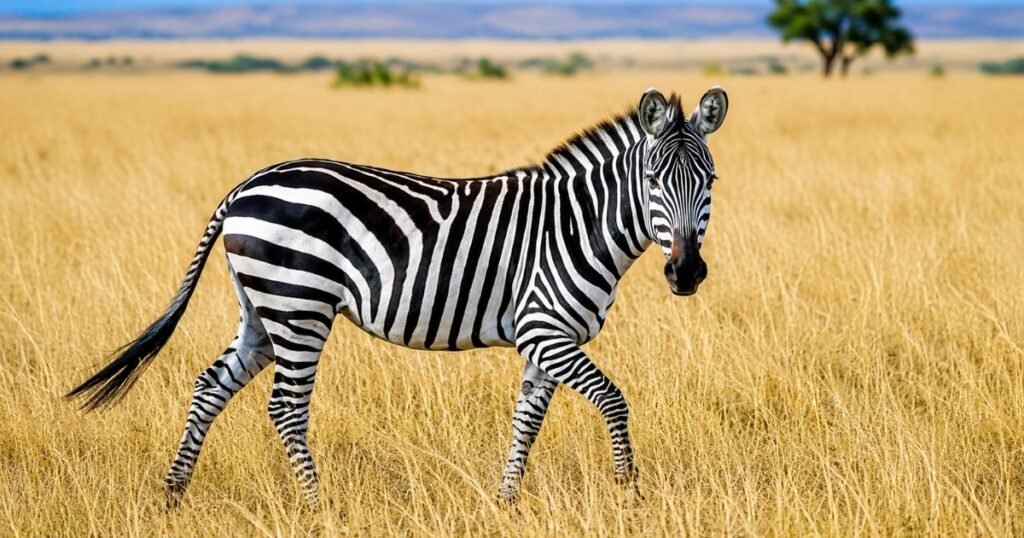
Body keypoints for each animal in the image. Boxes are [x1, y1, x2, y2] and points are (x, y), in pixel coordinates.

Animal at [67, 86, 729, 507]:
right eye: (652, 180)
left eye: (711, 180)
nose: (686, 273)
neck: (577, 224)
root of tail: (244, 186)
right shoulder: (544, 328)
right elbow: (614, 401)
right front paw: (629, 495)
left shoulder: (548, 339)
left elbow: (527, 420)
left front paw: (506, 502)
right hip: (300, 305)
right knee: (285, 408)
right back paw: (319, 509)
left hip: (263, 310)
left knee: (210, 386)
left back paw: (172, 495)